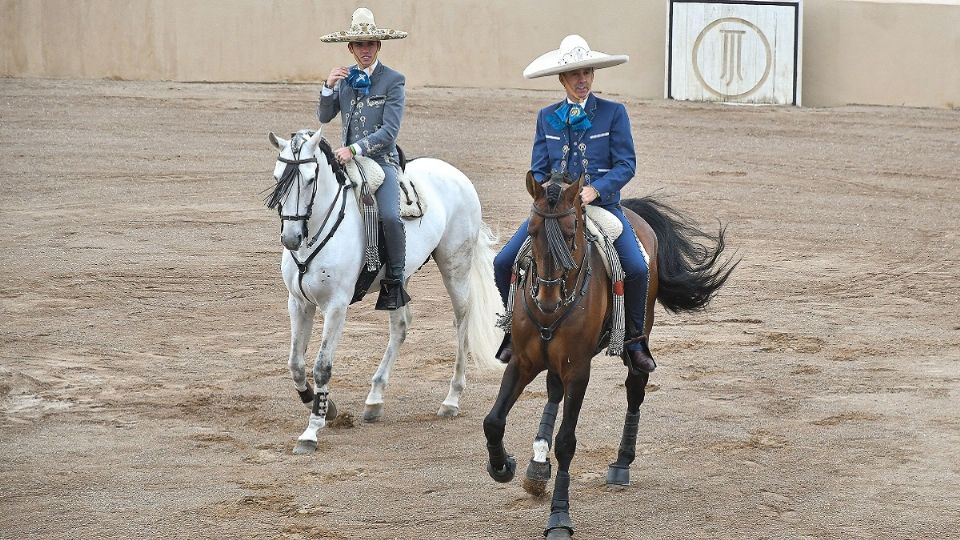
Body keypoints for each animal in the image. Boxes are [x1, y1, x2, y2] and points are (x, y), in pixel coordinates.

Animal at [264, 129, 502, 454]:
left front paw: (311, 431)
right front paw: (327, 408)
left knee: (462, 319)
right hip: (399, 280)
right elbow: (296, 364)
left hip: (456, 265)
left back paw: (451, 399)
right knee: (401, 326)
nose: (291, 238)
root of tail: (456, 174)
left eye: (311, 179)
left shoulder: (336, 305)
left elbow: (322, 365)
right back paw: (375, 399)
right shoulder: (298, 303)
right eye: (278, 177)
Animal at [484, 171, 740, 536]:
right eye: (531, 231)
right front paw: (503, 466)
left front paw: (559, 517)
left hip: (636, 337)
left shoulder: (578, 369)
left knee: (635, 386)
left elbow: (567, 441)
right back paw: (537, 465)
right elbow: (493, 421)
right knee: (553, 391)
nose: (548, 300)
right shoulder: (523, 361)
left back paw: (621, 462)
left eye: (571, 232)